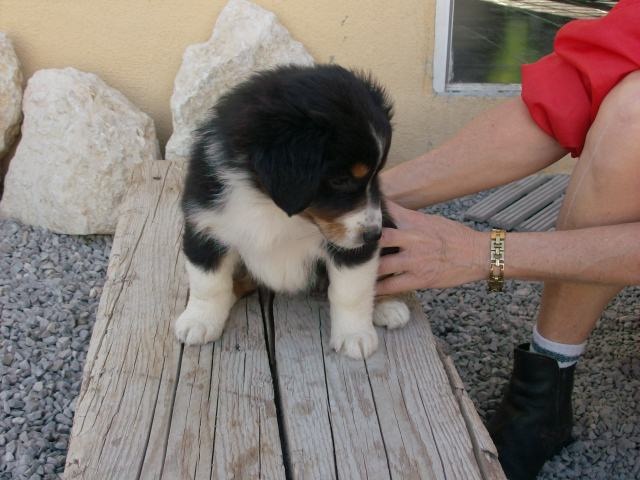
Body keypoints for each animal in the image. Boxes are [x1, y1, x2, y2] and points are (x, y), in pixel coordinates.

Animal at [174, 64, 410, 359]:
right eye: (340, 180)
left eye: (376, 176)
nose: (374, 235)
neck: (269, 205)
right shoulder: (204, 228)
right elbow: (208, 283)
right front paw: (199, 321)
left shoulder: (353, 250)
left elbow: (350, 292)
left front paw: (354, 336)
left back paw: (388, 306)